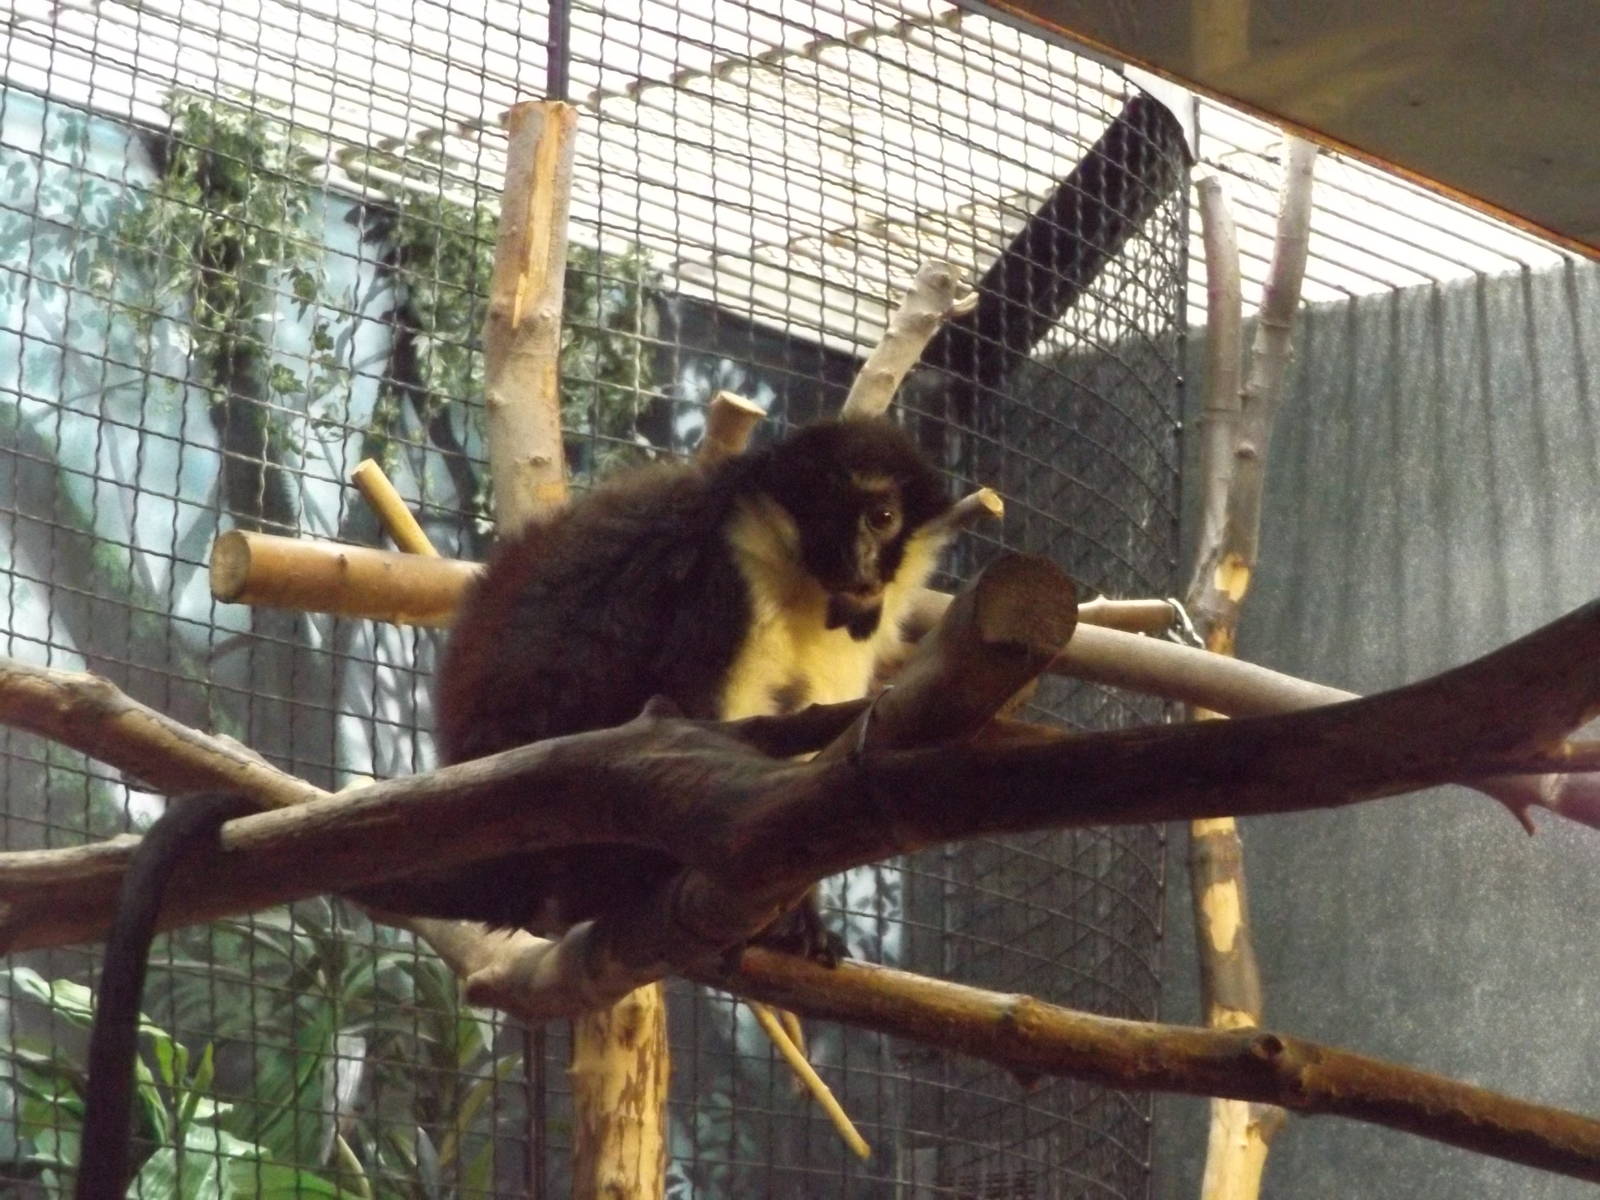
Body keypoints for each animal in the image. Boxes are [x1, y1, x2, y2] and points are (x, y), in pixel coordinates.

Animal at [75, 417, 953, 1187]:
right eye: (839, 510)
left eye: (882, 517)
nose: (861, 558)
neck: (802, 578)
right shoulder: (729, 568)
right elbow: (700, 723)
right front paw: (765, 911)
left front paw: (798, 912)